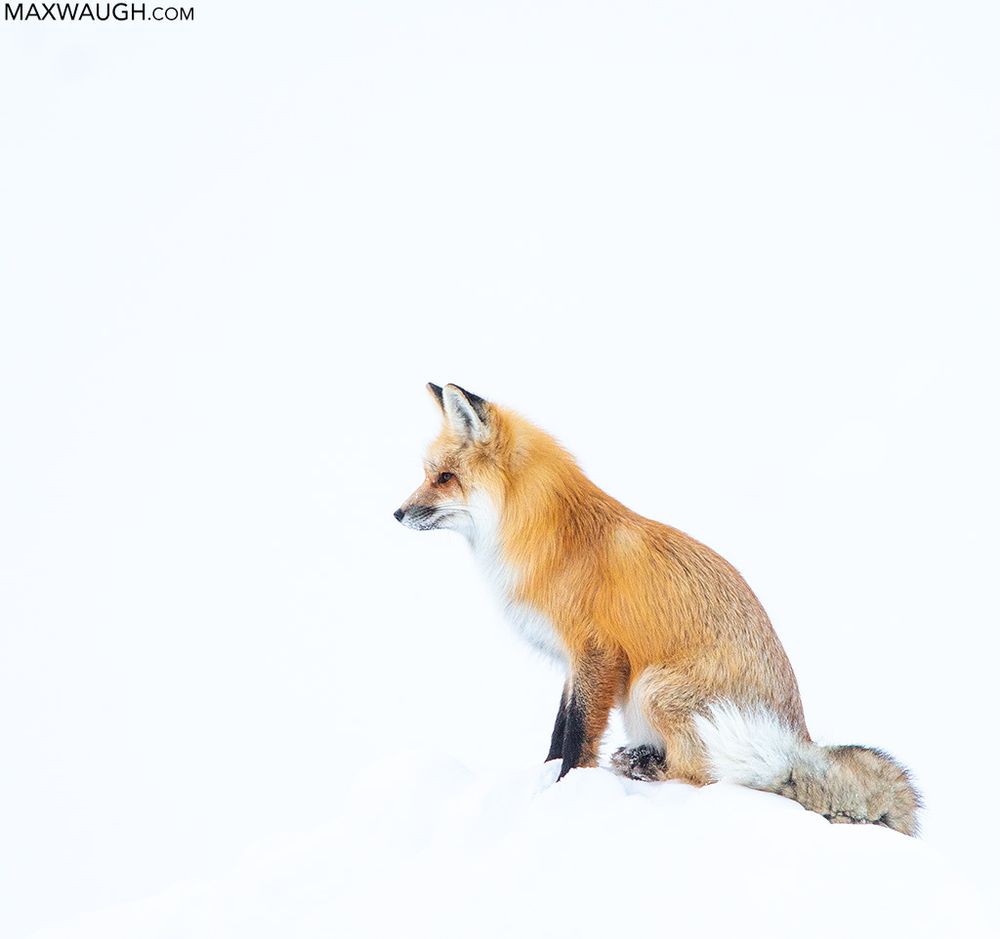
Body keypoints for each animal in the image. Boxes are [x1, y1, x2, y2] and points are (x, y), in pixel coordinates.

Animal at [394, 383, 921, 835]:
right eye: (428, 474)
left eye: (445, 478)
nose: (396, 513)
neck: (548, 537)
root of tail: (797, 739)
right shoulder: (573, 663)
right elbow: (559, 732)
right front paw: (544, 783)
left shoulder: (597, 653)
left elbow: (577, 738)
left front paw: (564, 796)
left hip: (653, 687)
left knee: (703, 774)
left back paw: (646, 768)